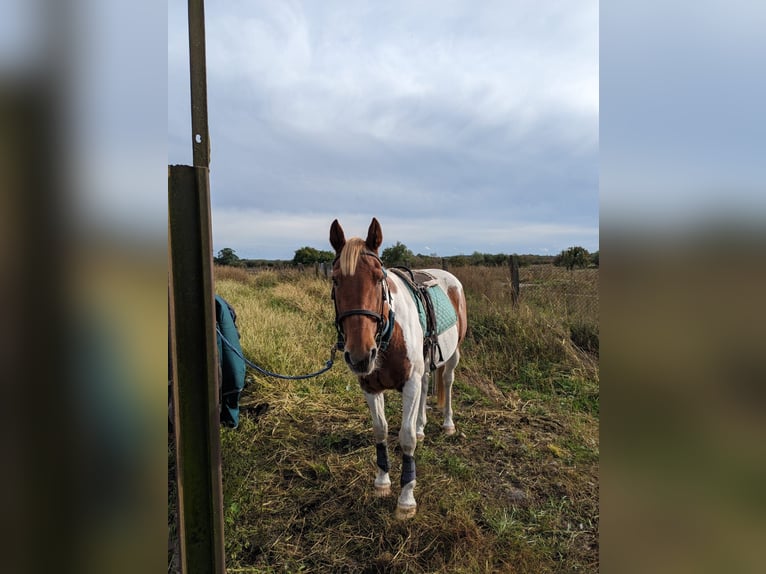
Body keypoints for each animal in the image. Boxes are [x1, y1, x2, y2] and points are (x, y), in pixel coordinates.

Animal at [330, 217, 468, 520]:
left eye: (378, 278)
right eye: (335, 279)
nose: (360, 355)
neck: (387, 335)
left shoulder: (410, 384)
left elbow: (406, 439)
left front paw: (406, 498)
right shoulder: (370, 386)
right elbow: (380, 430)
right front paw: (382, 481)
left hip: (453, 355)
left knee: (448, 382)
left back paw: (447, 424)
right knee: (427, 385)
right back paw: (422, 426)